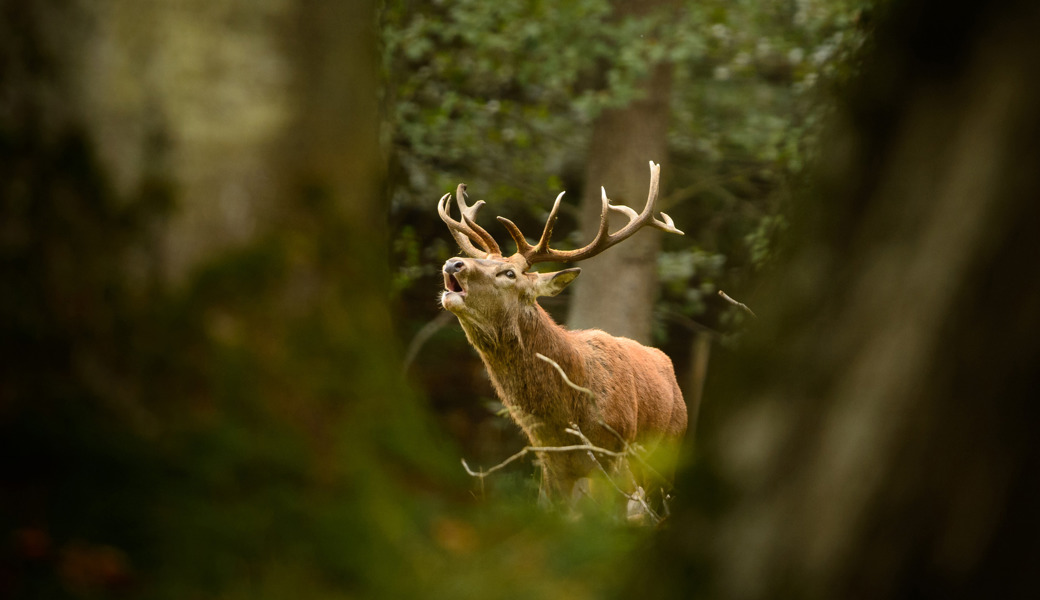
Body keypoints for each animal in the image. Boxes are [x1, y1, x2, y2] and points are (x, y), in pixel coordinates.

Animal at [440, 160, 690, 509]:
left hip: (665, 456)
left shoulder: (612, 456)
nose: (453, 263)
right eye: (482, 260)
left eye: (509, 273)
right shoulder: (550, 467)